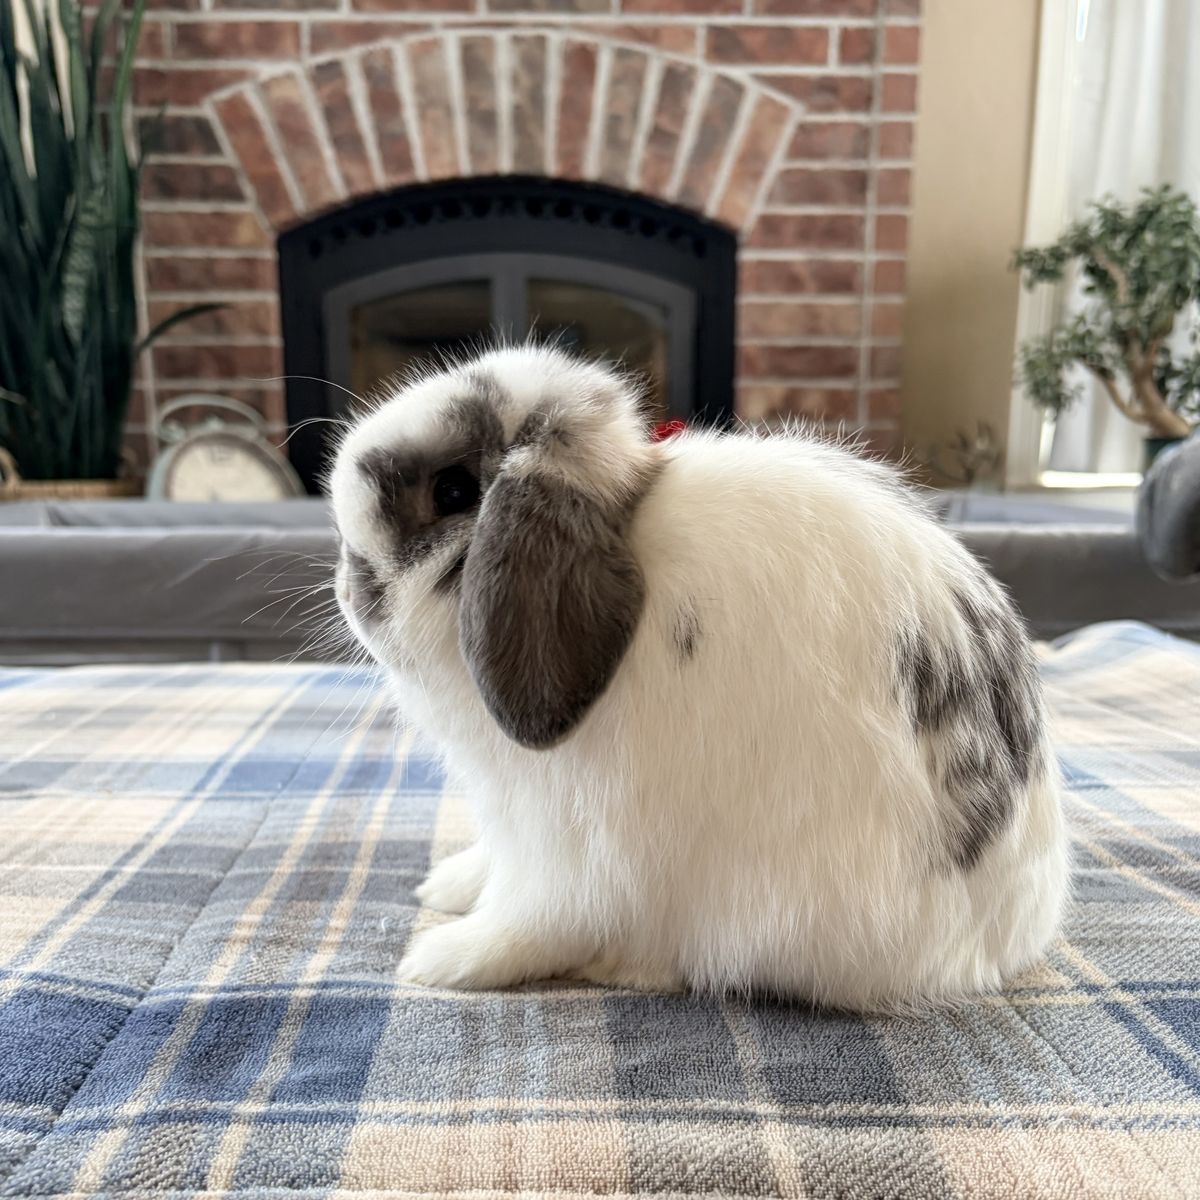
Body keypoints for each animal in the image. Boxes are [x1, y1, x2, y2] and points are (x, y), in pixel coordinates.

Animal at [328, 344, 1068, 1010]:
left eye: (452, 490)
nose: (348, 583)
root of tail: (1005, 942)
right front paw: (445, 887)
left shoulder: (572, 845)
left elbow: (533, 918)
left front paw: (443, 960)